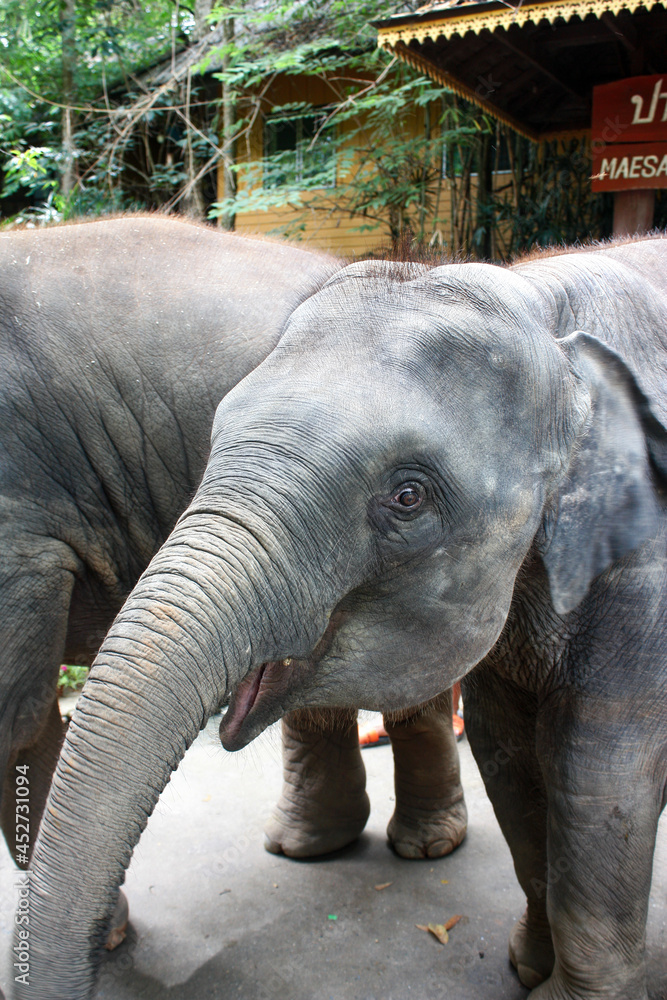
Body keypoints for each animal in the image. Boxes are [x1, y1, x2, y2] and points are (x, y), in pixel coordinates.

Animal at [22, 234, 667, 1000]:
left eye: (408, 496)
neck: (545, 310)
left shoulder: (647, 576)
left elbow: (595, 777)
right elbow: (506, 756)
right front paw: (529, 967)